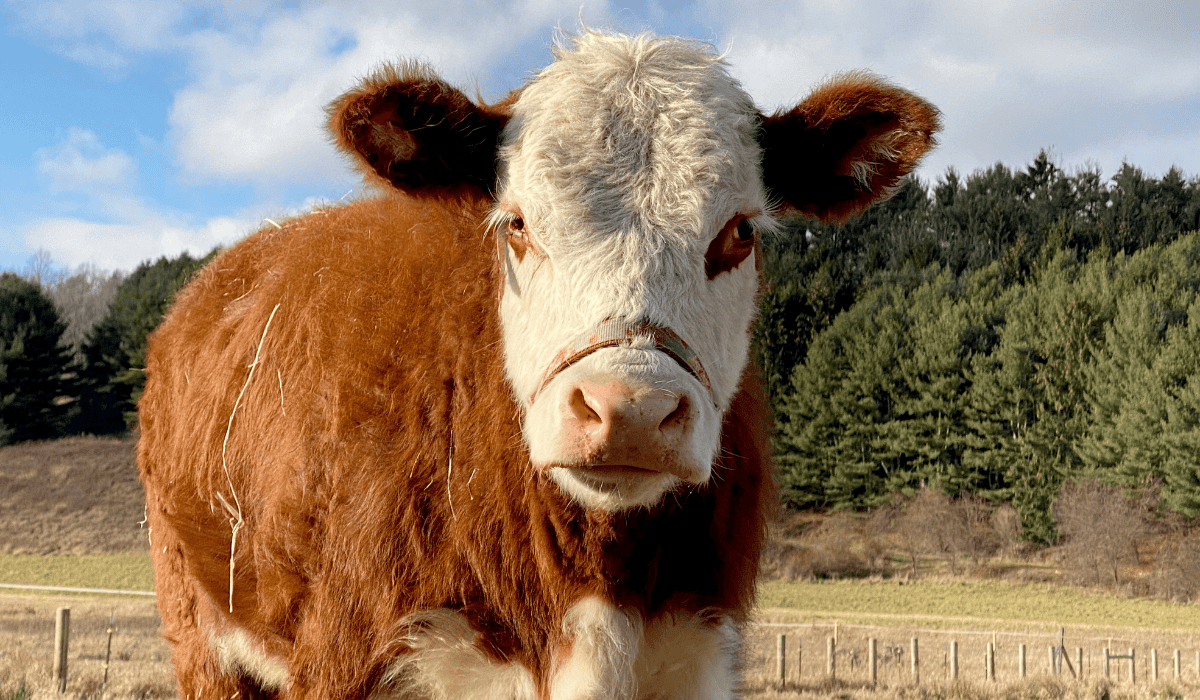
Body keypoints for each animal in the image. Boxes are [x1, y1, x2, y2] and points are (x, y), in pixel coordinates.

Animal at [137, 29, 939, 700]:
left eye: (739, 232)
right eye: (518, 222)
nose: (628, 410)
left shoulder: (695, 649)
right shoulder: (349, 655)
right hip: (199, 632)